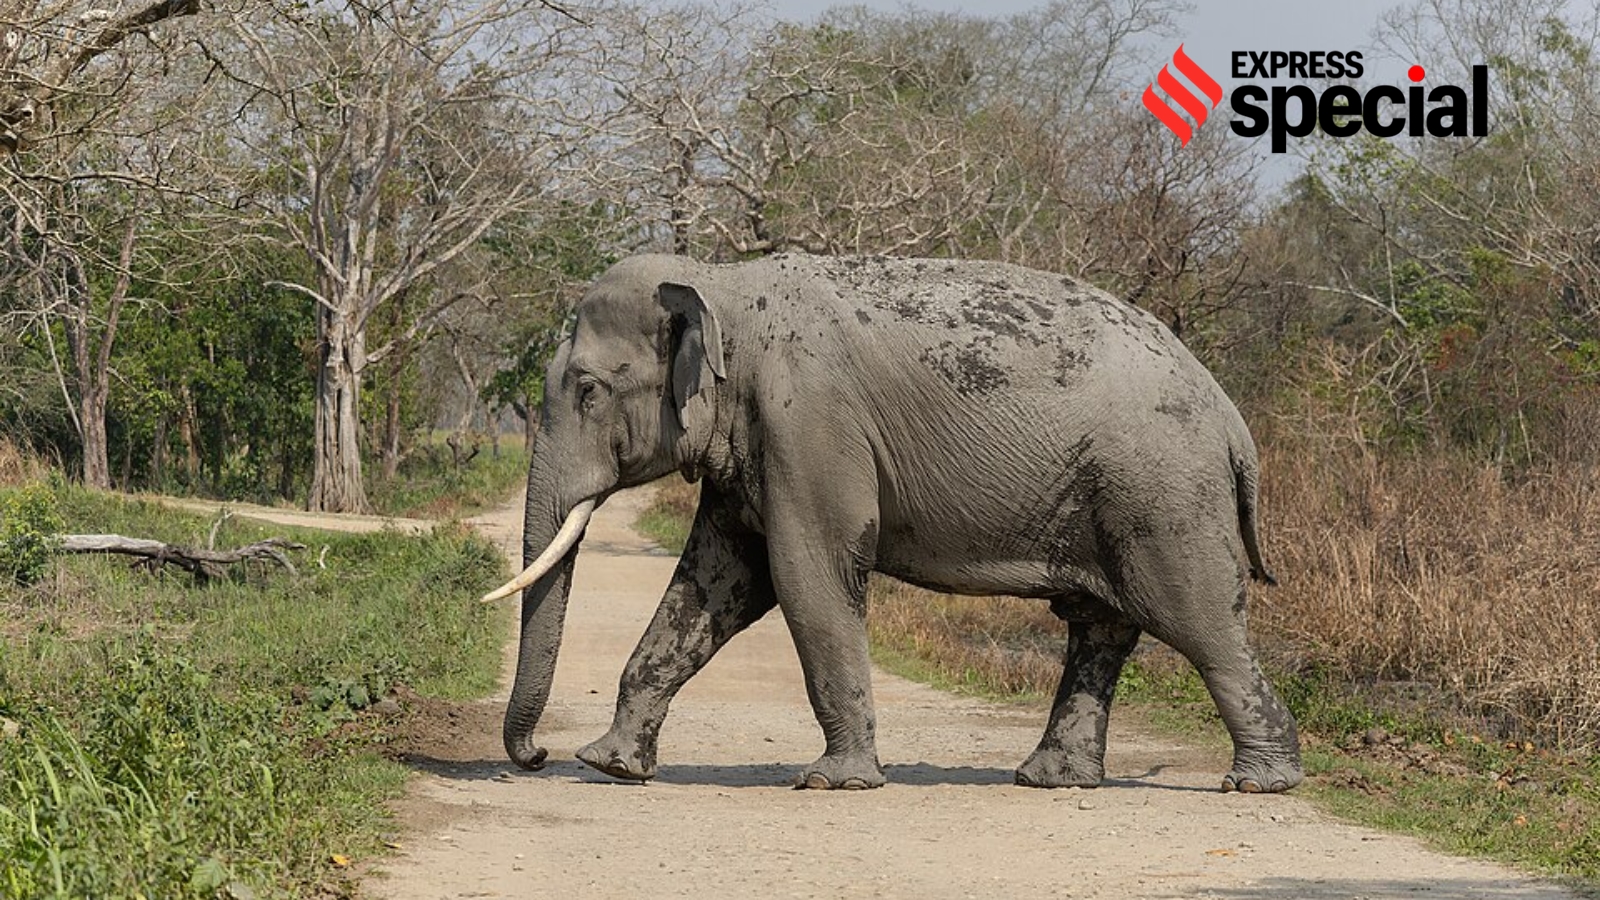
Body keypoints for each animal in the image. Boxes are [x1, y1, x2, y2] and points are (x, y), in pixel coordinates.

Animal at [481, 252, 1303, 794]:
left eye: (587, 390)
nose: (538, 758)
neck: (724, 285)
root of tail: (1232, 420)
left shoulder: (808, 422)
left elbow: (806, 576)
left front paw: (833, 782)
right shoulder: (754, 443)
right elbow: (714, 586)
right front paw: (613, 765)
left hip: (1165, 494)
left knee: (1198, 622)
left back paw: (1260, 783)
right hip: (1115, 492)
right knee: (1099, 626)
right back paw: (1051, 780)